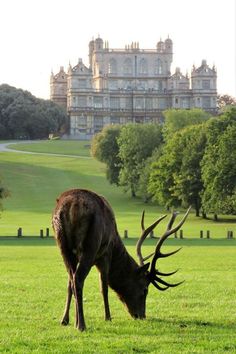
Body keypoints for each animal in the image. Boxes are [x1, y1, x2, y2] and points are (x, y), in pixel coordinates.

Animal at [51, 189, 190, 330]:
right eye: (145, 289)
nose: (141, 315)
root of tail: (71, 206)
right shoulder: (105, 255)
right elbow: (104, 287)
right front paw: (108, 317)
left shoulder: (78, 256)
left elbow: (69, 285)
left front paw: (66, 320)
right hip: (91, 244)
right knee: (78, 278)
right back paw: (82, 325)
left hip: (62, 244)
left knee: (73, 278)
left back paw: (73, 321)